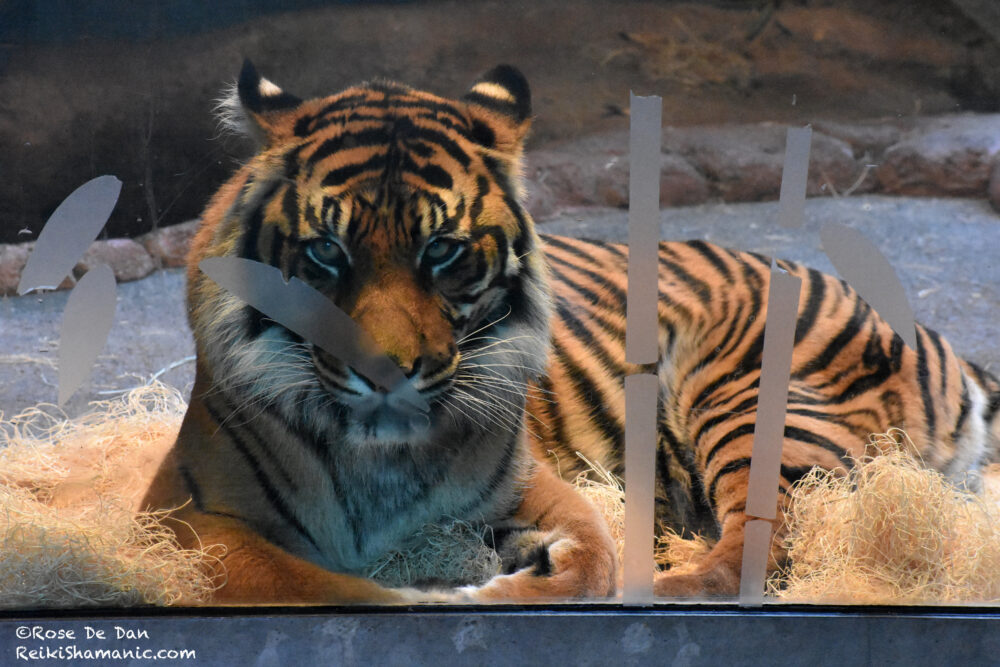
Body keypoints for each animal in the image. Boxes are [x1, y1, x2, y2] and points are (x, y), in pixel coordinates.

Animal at [141, 61, 1000, 604]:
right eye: (326, 251)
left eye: (442, 251)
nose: (385, 373)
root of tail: (929, 335)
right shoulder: (184, 513)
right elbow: (326, 586)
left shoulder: (534, 480)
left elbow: (586, 559)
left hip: (752, 398)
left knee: (764, 544)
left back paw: (664, 583)